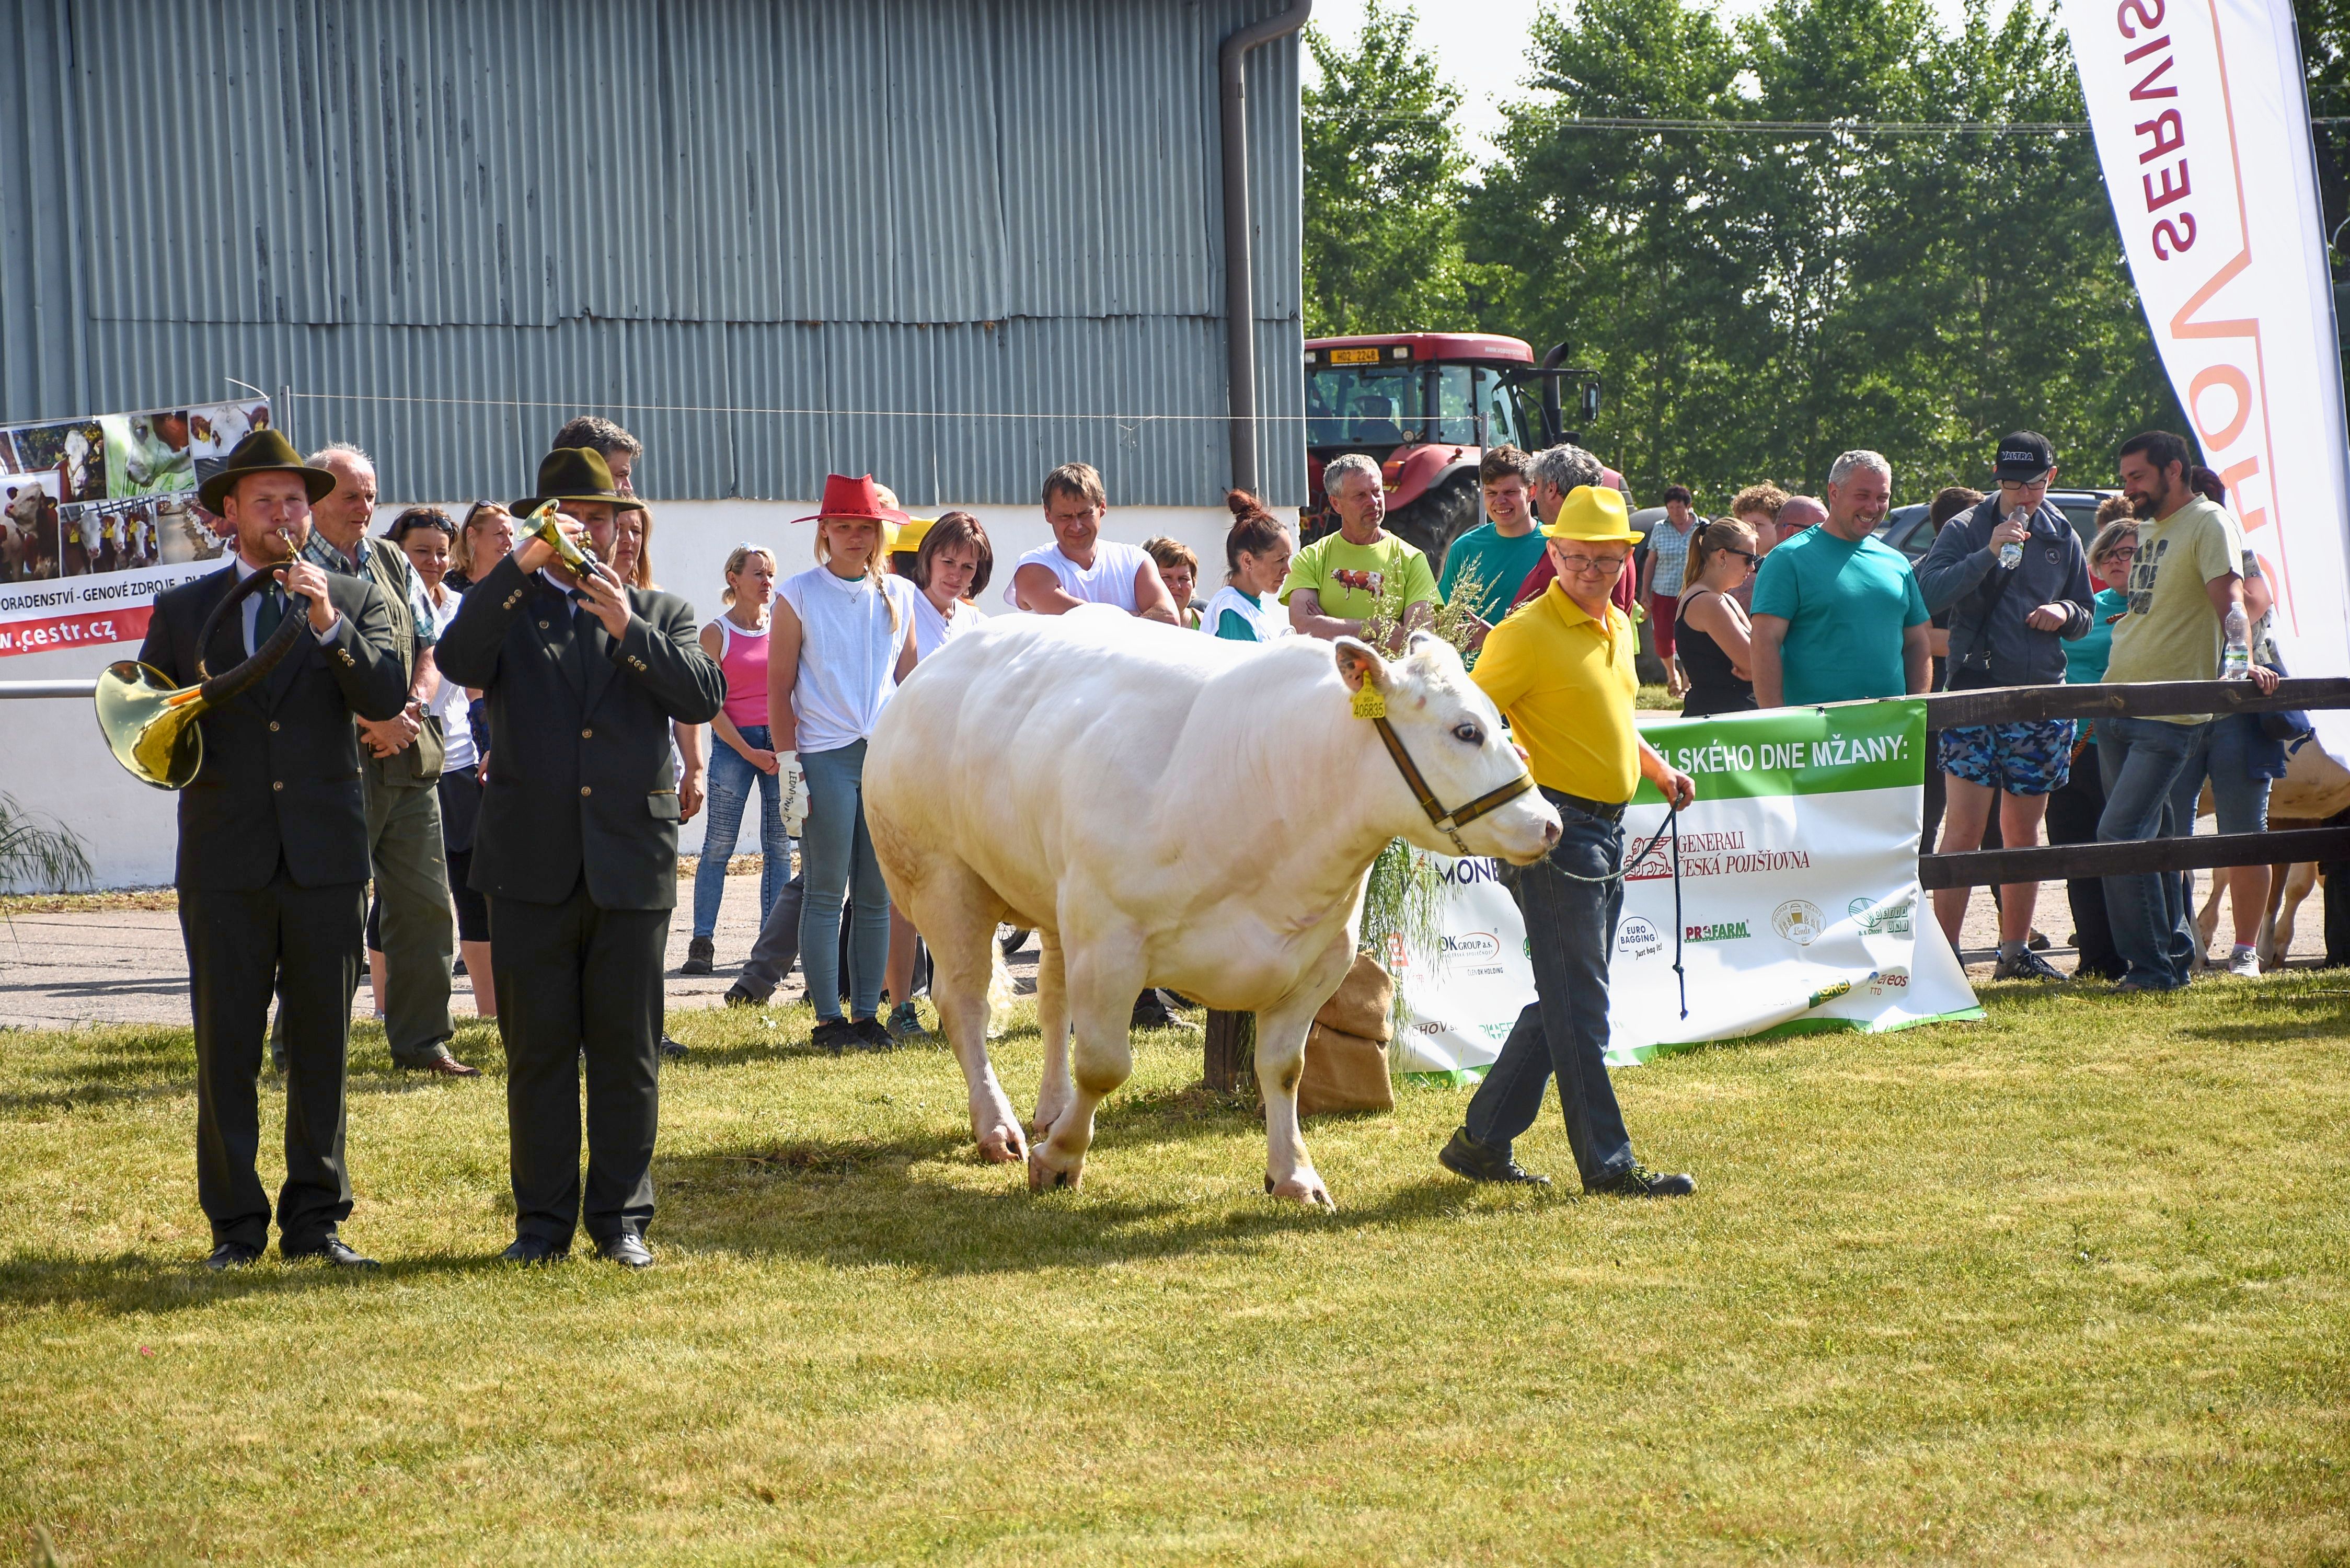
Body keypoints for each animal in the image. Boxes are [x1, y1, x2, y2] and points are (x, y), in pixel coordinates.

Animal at [865, 606, 1560, 1213]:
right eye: (1465, 731)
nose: (1549, 824)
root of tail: (937, 663)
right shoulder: (1111, 939)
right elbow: (1104, 1065)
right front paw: (1059, 1161)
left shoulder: (1321, 959)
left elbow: (1283, 1070)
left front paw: (1294, 1176)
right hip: (940, 879)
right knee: (965, 1005)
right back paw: (999, 1128)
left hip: (1054, 897)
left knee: (1053, 998)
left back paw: (1049, 1109)